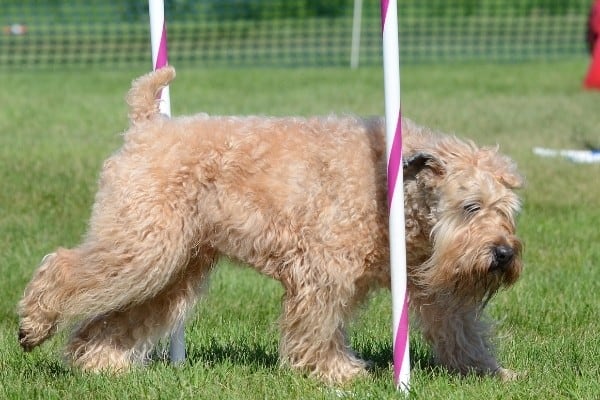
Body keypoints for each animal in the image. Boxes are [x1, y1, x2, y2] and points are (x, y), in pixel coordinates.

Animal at [17, 66, 524, 384]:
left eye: (508, 210)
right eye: (471, 206)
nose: (503, 254)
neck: (399, 193)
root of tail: (145, 128)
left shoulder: (432, 283)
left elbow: (461, 330)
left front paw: (494, 373)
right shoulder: (325, 270)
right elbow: (321, 325)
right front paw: (336, 372)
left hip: (172, 268)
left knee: (116, 318)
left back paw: (101, 363)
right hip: (142, 247)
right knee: (64, 266)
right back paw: (33, 324)